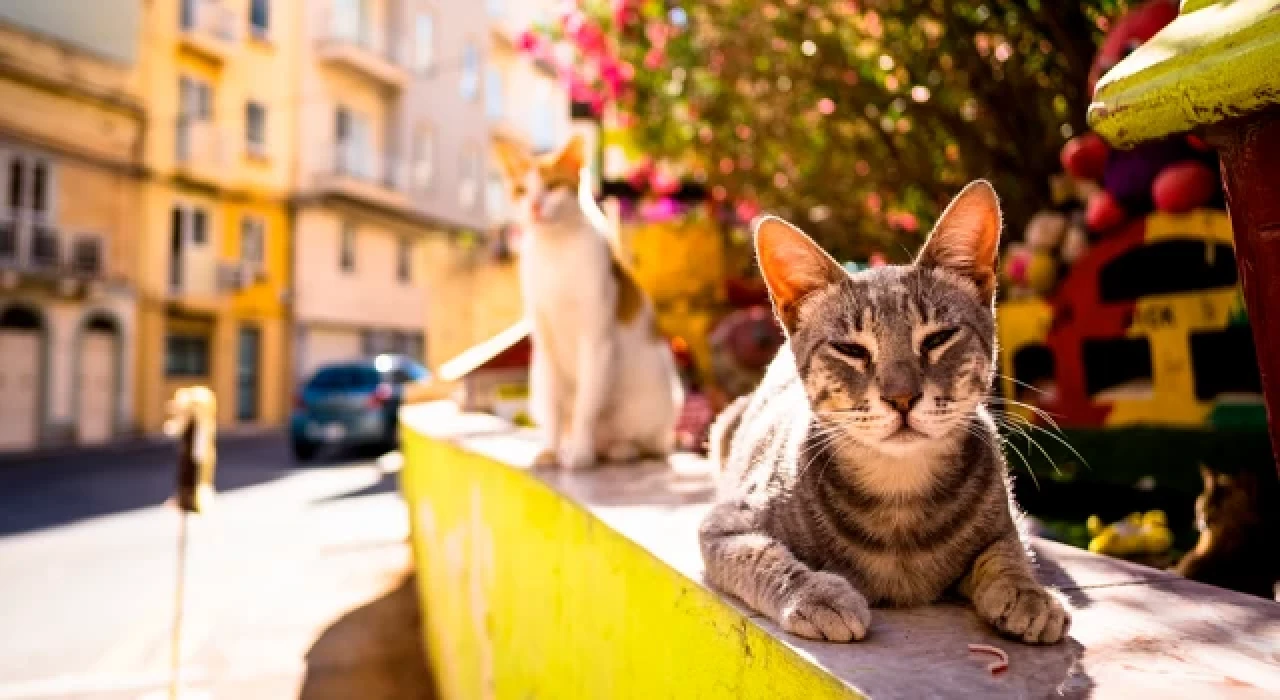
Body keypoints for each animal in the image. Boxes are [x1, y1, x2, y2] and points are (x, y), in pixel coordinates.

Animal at [494, 135, 686, 470]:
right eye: (521, 190)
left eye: (554, 186)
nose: (534, 206)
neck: (554, 250)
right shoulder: (546, 345)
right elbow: (556, 409)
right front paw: (551, 448)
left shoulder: (596, 339)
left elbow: (586, 405)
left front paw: (580, 454)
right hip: (536, 382)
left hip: (657, 401)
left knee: (654, 444)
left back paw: (619, 449)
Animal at [701, 181, 1070, 647]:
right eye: (851, 349)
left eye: (938, 339)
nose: (902, 396)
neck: (899, 495)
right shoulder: (726, 524)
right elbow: (763, 556)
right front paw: (818, 592)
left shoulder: (1005, 522)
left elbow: (1008, 550)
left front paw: (1028, 592)